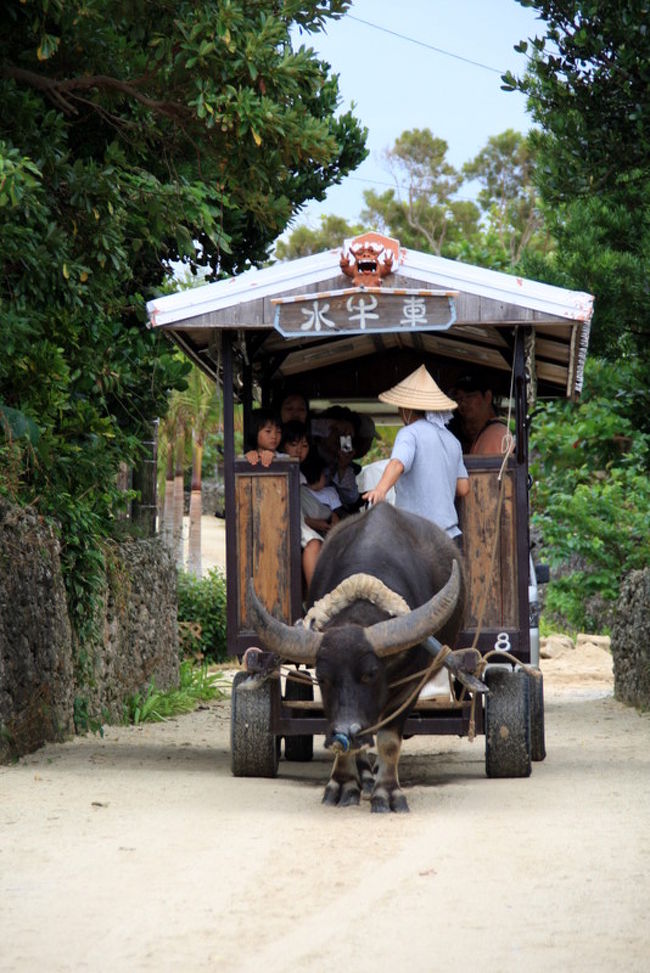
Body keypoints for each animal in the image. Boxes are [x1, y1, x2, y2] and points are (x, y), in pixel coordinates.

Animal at [248, 502, 466, 812]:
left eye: (370, 674)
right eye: (323, 678)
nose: (347, 730)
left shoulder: (409, 688)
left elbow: (389, 741)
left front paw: (388, 793)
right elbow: (341, 739)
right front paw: (343, 784)